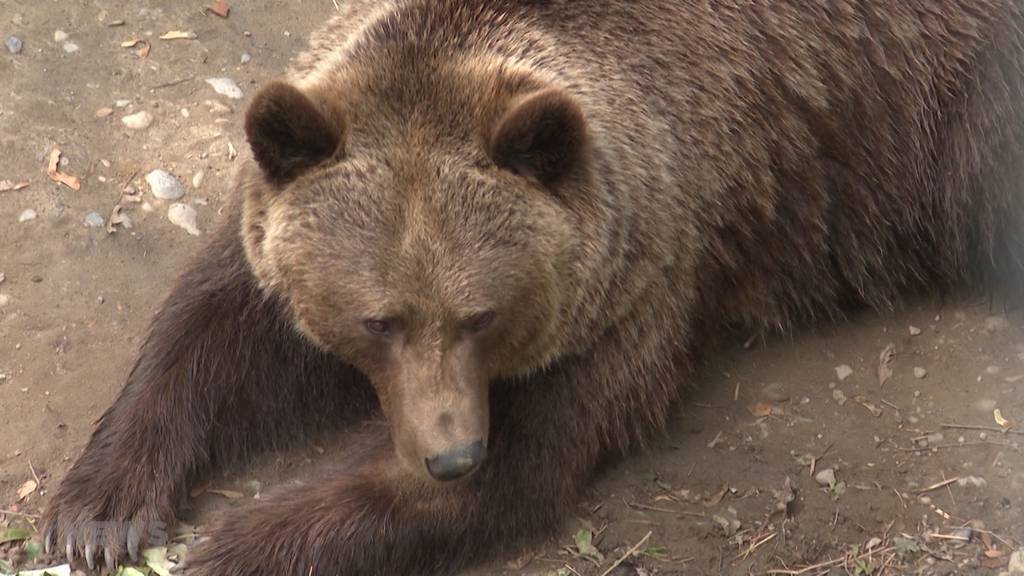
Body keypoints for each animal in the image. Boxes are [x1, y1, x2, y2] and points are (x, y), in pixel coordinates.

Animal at [39, 0, 1024, 569]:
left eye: (482, 315)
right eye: (379, 320)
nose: (451, 451)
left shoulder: (646, 277)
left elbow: (534, 452)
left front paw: (238, 539)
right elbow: (213, 331)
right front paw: (98, 514)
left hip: (957, 120)